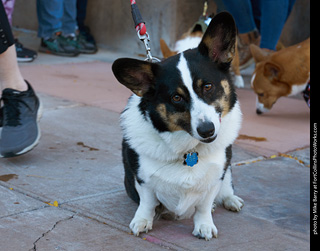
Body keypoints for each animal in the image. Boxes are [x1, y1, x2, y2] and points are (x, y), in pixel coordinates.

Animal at [112, 12, 242, 241]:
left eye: (208, 86)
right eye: (176, 97)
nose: (207, 130)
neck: (189, 151)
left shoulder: (216, 176)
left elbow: (204, 205)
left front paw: (204, 226)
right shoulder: (143, 179)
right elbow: (147, 203)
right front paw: (142, 221)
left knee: (226, 188)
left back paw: (230, 200)